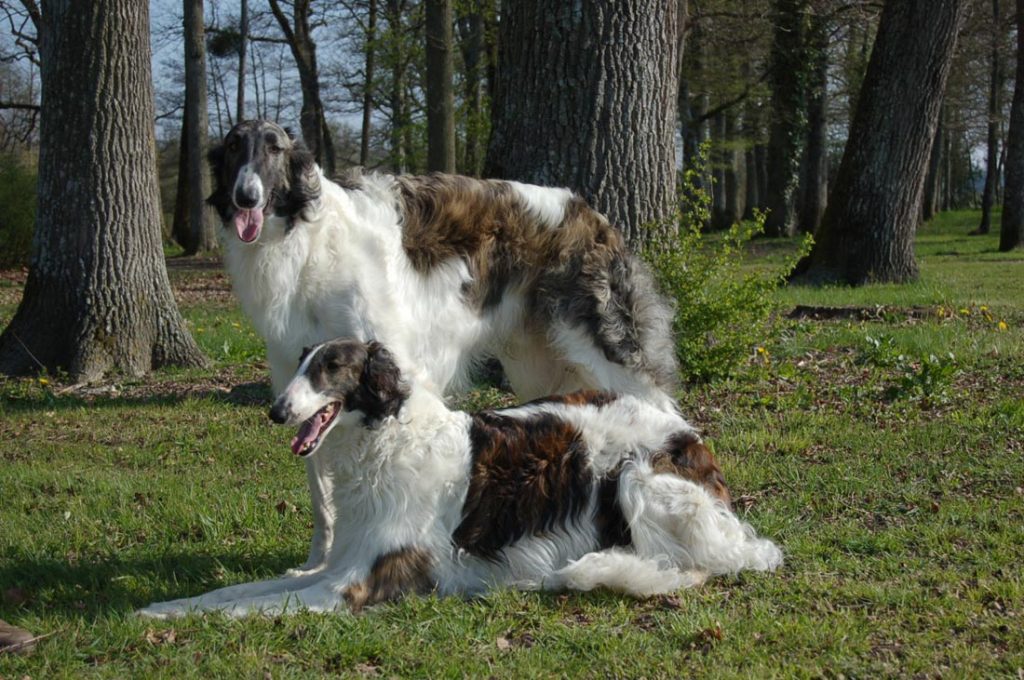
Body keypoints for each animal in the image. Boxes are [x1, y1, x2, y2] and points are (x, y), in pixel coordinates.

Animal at [140, 337, 782, 618]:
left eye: (331, 368)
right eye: (300, 363)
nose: (276, 411)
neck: (385, 440)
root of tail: (689, 432)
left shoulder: (357, 583)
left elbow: (246, 606)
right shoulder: (339, 564)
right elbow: (230, 594)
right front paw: (161, 608)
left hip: (639, 482)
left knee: (703, 565)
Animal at [205, 120, 679, 573]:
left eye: (274, 148)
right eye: (233, 147)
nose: (246, 197)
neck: (309, 239)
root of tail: (591, 213)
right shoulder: (301, 383)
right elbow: (322, 495)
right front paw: (317, 563)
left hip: (606, 345)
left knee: (663, 408)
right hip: (539, 365)